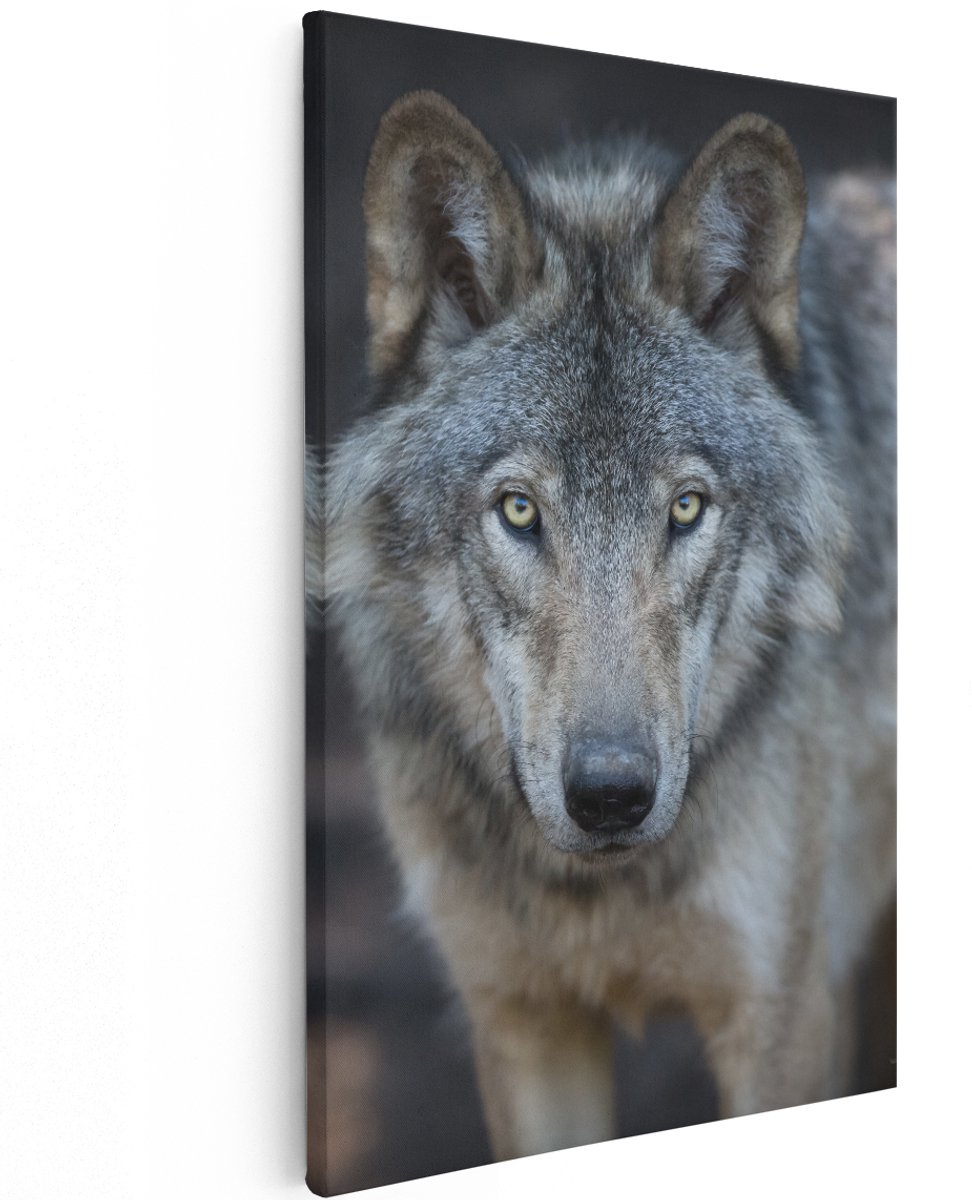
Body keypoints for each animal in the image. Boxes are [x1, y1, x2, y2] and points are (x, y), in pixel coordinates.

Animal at [307, 90, 896, 1160]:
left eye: (686, 509)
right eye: (520, 511)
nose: (612, 796)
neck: (593, 893)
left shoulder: (780, 1018)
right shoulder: (524, 1025)